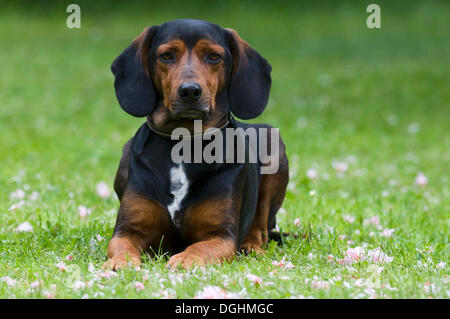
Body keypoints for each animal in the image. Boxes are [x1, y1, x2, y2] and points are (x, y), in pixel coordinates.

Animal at [103, 18, 288, 272]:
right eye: (166, 55)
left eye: (214, 56)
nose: (190, 90)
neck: (185, 141)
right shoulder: (128, 230)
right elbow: (123, 247)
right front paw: (119, 262)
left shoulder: (220, 236)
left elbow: (198, 248)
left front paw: (185, 259)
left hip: (274, 146)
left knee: (260, 229)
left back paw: (251, 246)